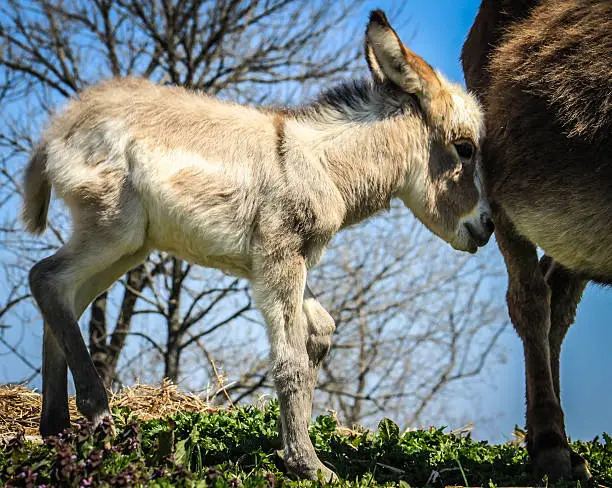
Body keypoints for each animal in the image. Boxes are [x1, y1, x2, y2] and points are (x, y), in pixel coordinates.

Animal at [23, 11, 492, 480]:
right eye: (465, 149)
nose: (487, 226)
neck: (320, 165)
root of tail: (57, 130)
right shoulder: (279, 259)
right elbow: (290, 361)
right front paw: (310, 466)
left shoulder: (288, 262)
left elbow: (319, 332)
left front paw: (292, 451)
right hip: (111, 228)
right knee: (46, 278)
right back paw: (97, 414)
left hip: (128, 245)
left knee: (63, 294)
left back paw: (57, 430)